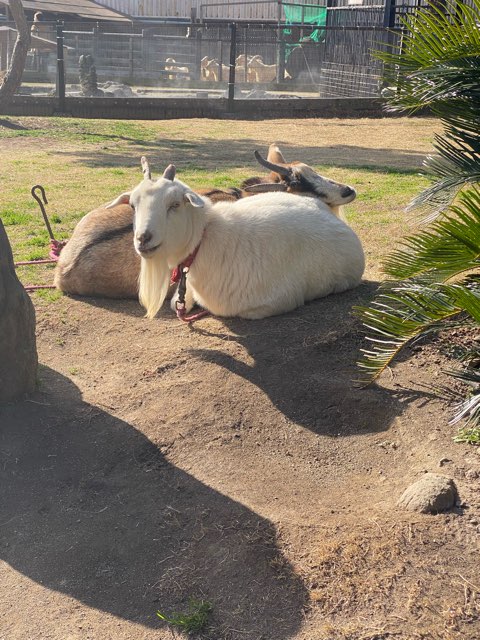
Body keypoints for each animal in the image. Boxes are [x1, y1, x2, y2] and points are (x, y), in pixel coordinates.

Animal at [126, 158, 364, 322]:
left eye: (175, 204)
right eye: (133, 205)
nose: (143, 239)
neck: (206, 239)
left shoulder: (271, 304)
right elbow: (176, 303)